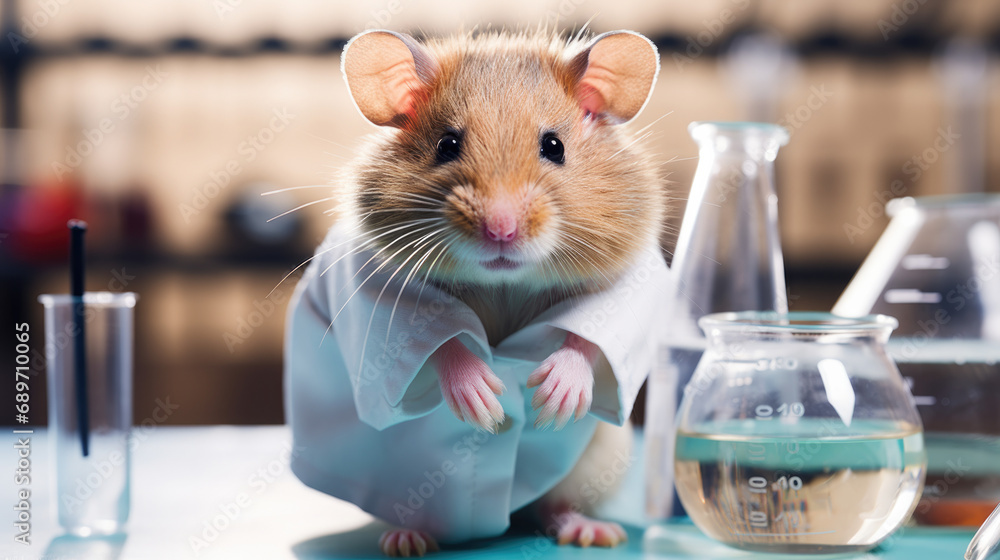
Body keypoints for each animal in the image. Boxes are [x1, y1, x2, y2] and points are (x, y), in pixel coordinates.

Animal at [284, 27, 667, 557]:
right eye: (447, 145)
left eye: (554, 146)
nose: (501, 229)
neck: (505, 283)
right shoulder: (374, 287)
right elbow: (437, 341)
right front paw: (485, 403)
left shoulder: (633, 279)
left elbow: (590, 332)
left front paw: (554, 398)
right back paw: (407, 538)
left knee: (554, 506)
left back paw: (590, 532)